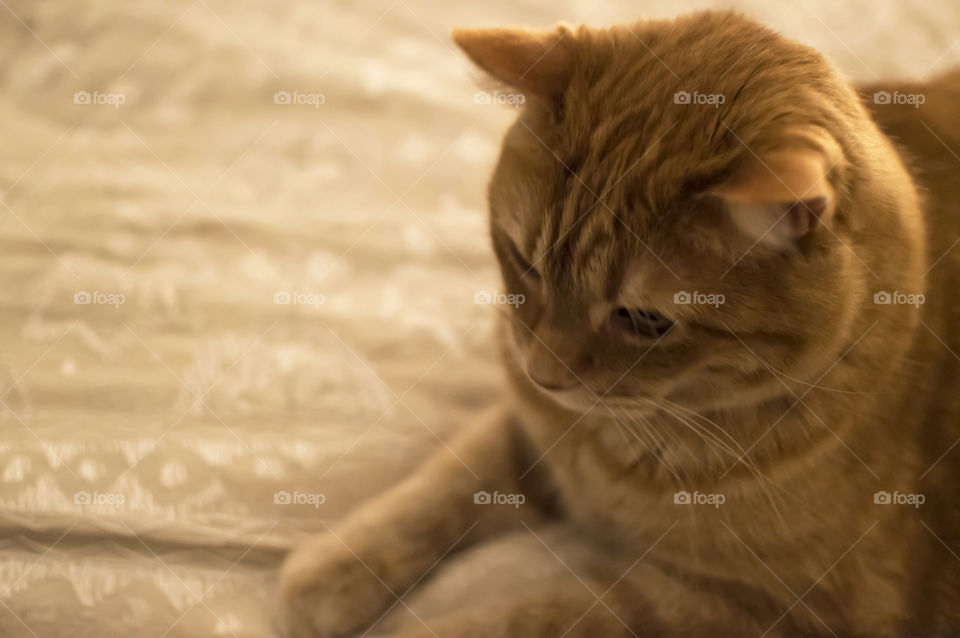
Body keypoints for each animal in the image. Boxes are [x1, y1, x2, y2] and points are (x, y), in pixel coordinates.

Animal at [276, 10, 960, 638]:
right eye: (524, 260)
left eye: (645, 319)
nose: (545, 374)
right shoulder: (528, 427)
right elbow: (448, 477)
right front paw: (333, 570)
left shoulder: (767, 609)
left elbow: (536, 616)